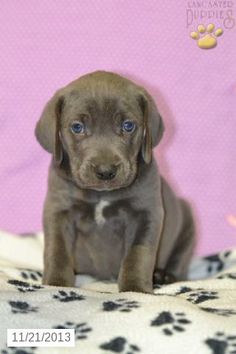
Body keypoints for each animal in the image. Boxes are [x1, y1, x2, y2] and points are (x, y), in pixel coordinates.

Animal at [34, 70, 194, 294]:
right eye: (77, 127)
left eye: (128, 126)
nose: (105, 171)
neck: (102, 195)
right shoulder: (59, 211)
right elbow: (57, 251)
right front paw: (55, 285)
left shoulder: (146, 215)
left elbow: (138, 255)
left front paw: (136, 290)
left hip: (187, 220)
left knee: (180, 261)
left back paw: (164, 276)